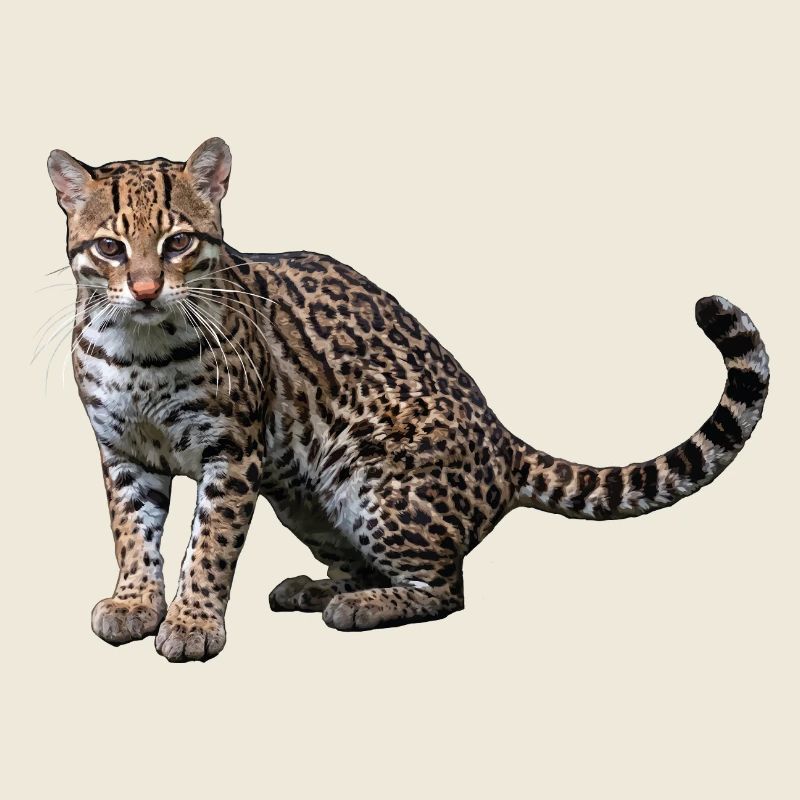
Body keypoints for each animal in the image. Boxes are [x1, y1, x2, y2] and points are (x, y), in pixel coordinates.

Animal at [45, 138, 770, 662]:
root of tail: (506, 443)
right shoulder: (121, 451)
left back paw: (359, 607)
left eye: (178, 243)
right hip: (305, 499)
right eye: (110, 247)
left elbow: (210, 544)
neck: (139, 347)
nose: (144, 289)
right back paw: (318, 587)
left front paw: (193, 621)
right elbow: (132, 533)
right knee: (364, 565)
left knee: (447, 588)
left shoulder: (233, 449)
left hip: (370, 484)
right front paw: (135, 603)